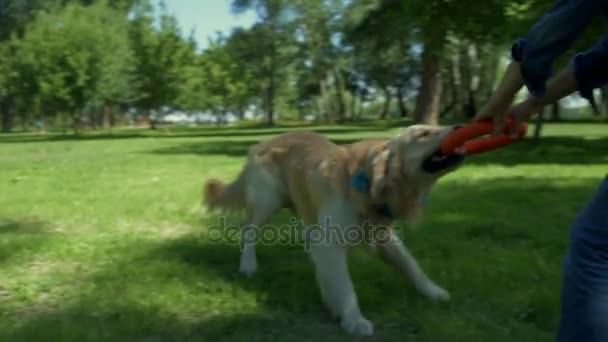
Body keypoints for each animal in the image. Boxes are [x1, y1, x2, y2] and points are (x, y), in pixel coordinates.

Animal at [204, 125, 466, 336]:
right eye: (423, 134)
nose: (461, 126)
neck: (366, 184)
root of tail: (262, 142)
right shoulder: (332, 242)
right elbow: (346, 287)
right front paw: (354, 320)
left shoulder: (383, 237)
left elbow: (411, 265)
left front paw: (433, 291)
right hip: (267, 201)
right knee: (248, 232)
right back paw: (248, 264)